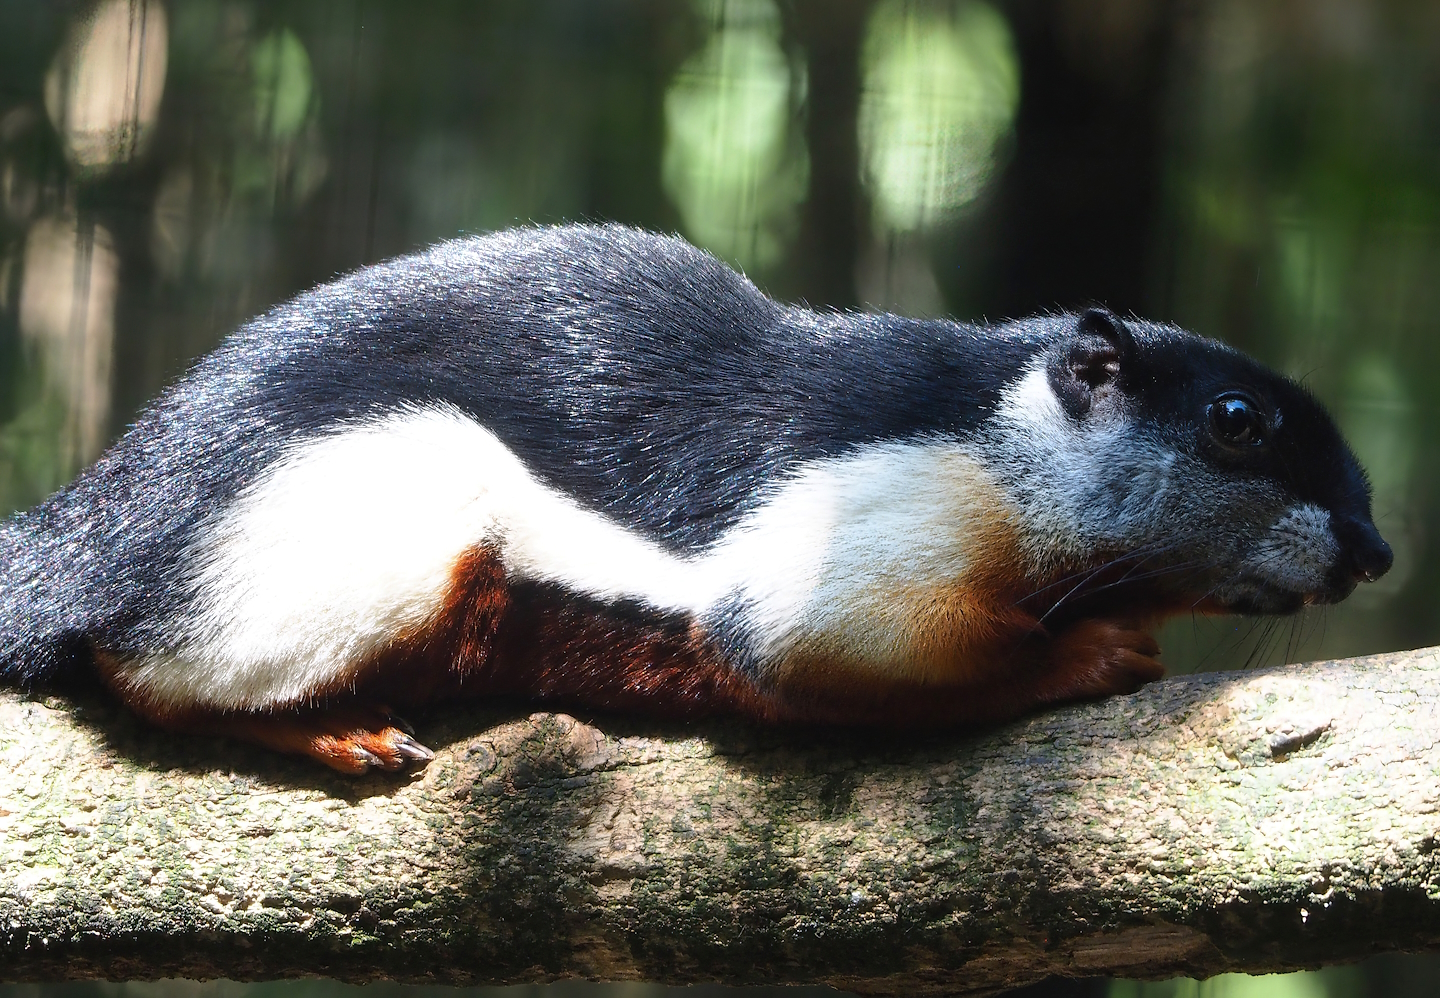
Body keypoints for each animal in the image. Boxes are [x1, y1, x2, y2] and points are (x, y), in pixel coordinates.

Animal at [0, 225, 1392, 773]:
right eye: (1235, 422)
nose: (1376, 550)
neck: (1003, 435)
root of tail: (98, 523)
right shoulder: (865, 529)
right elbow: (827, 645)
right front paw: (1095, 650)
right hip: (371, 539)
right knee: (145, 668)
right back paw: (328, 726)